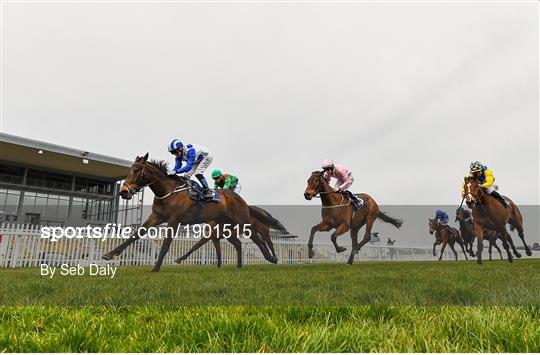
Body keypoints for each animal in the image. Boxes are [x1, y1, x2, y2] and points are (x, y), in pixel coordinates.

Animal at [102, 154, 278, 272]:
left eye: (138, 170)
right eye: (129, 170)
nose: (124, 191)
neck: (168, 191)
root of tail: (241, 199)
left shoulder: (174, 220)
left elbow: (166, 245)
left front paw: (156, 268)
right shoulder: (157, 216)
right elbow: (136, 234)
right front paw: (110, 254)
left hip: (242, 221)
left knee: (258, 239)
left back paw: (271, 258)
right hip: (226, 227)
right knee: (239, 243)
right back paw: (240, 265)